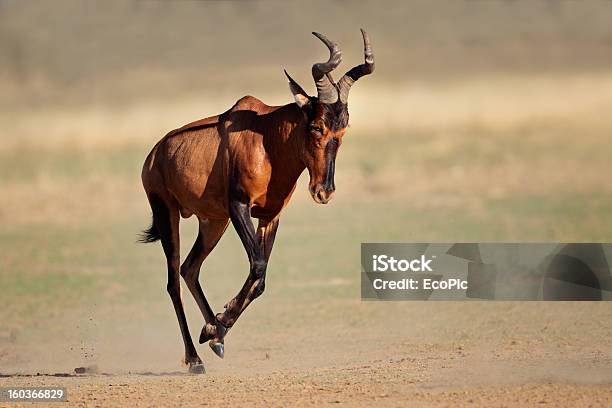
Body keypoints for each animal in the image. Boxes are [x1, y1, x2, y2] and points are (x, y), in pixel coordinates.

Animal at [141, 28, 372, 372]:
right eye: (316, 126)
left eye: (342, 131)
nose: (324, 191)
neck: (268, 137)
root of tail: (154, 153)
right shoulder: (239, 207)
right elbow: (259, 265)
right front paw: (219, 324)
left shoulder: (269, 216)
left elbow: (259, 278)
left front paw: (216, 327)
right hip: (168, 212)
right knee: (173, 281)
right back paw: (194, 359)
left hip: (214, 222)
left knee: (189, 268)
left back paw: (215, 339)